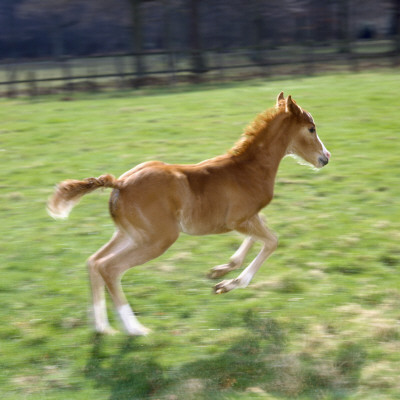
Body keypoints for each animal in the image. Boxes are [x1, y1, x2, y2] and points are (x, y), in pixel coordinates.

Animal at [48, 93, 332, 334]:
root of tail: (120, 184)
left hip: (129, 234)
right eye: (311, 128)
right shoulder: (238, 219)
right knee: (110, 268)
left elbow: (258, 238)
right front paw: (229, 284)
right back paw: (135, 329)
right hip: (158, 239)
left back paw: (101, 327)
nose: (326, 157)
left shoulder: (249, 217)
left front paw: (220, 274)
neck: (249, 168)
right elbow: (271, 241)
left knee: (94, 262)